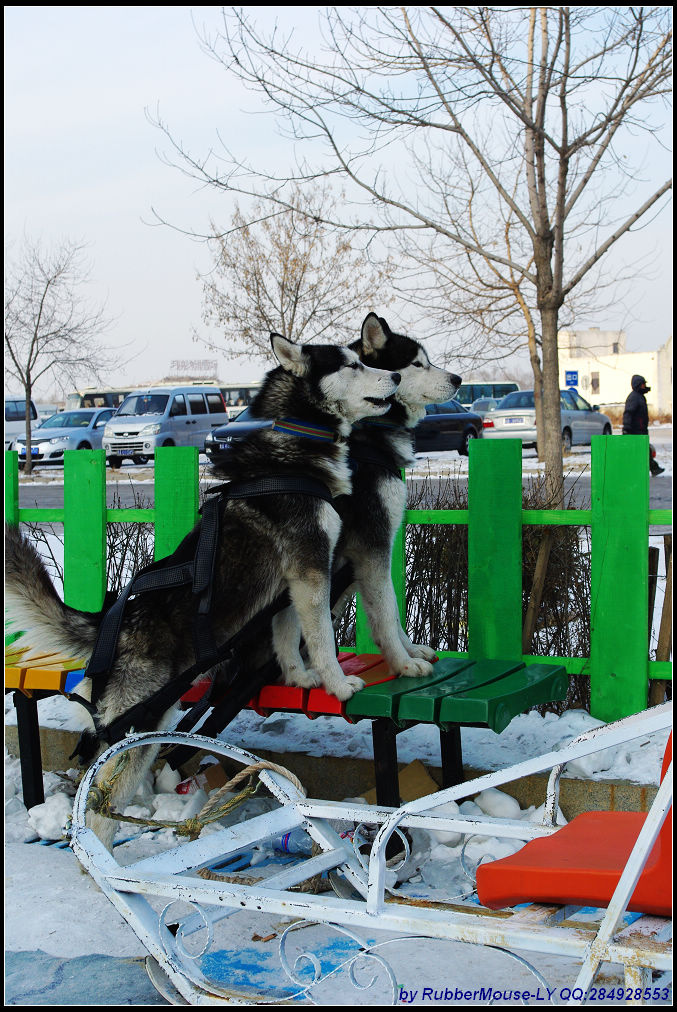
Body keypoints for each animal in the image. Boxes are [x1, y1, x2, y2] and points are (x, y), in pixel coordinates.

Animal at [5, 333, 398, 846]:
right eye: (352, 365)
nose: (395, 376)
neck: (297, 445)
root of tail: (115, 622)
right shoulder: (312, 568)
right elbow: (320, 638)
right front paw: (335, 681)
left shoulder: (291, 583)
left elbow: (287, 635)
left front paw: (300, 677)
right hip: (143, 723)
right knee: (98, 806)